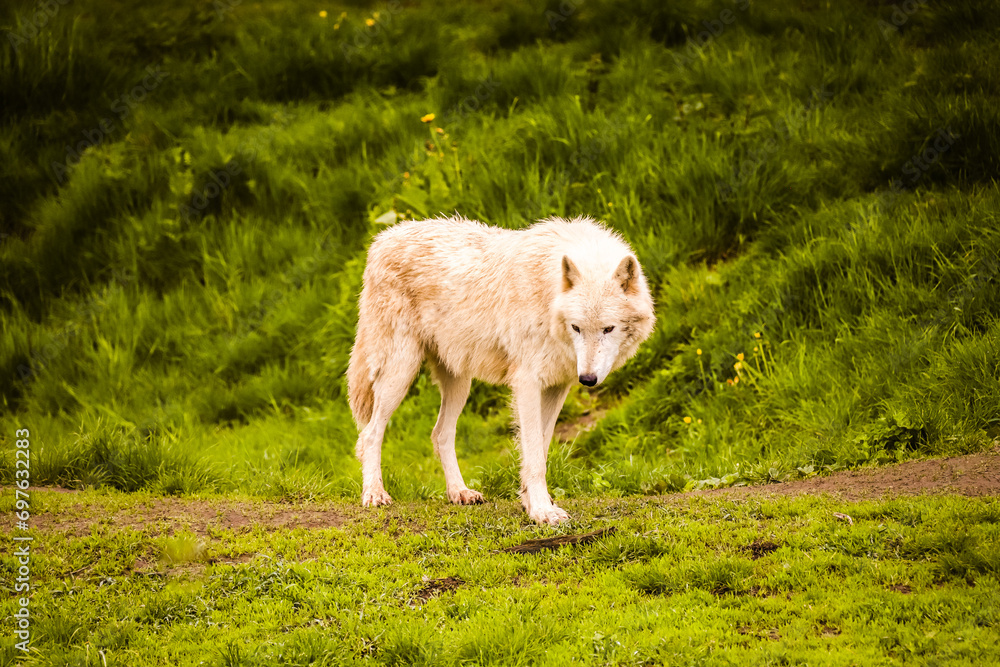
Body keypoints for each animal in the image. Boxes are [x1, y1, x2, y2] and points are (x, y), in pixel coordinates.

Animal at [347, 216, 655, 525]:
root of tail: (382, 239)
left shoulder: (558, 386)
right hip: (400, 372)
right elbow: (534, 455)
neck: (548, 293)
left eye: (608, 329)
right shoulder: (527, 383)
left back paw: (459, 492)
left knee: (440, 434)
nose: (588, 379)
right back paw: (374, 494)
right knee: (369, 434)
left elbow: (540, 449)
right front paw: (542, 511)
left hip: (460, 384)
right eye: (576, 328)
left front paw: (531, 503)